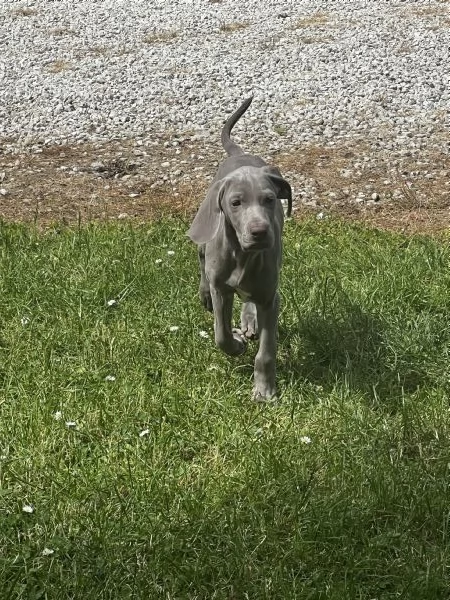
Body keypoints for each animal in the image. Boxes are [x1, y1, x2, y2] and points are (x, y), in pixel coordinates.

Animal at [186, 96, 292, 400]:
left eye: (270, 199)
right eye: (236, 203)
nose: (259, 232)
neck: (244, 255)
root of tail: (240, 154)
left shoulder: (270, 297)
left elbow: (266, 351)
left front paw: (264, 390)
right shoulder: (222, 290)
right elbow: (220, 334)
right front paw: (236, 345)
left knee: (249, 298)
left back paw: (248, 320)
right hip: (204, 233)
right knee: (201, 262)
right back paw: (205, 295)